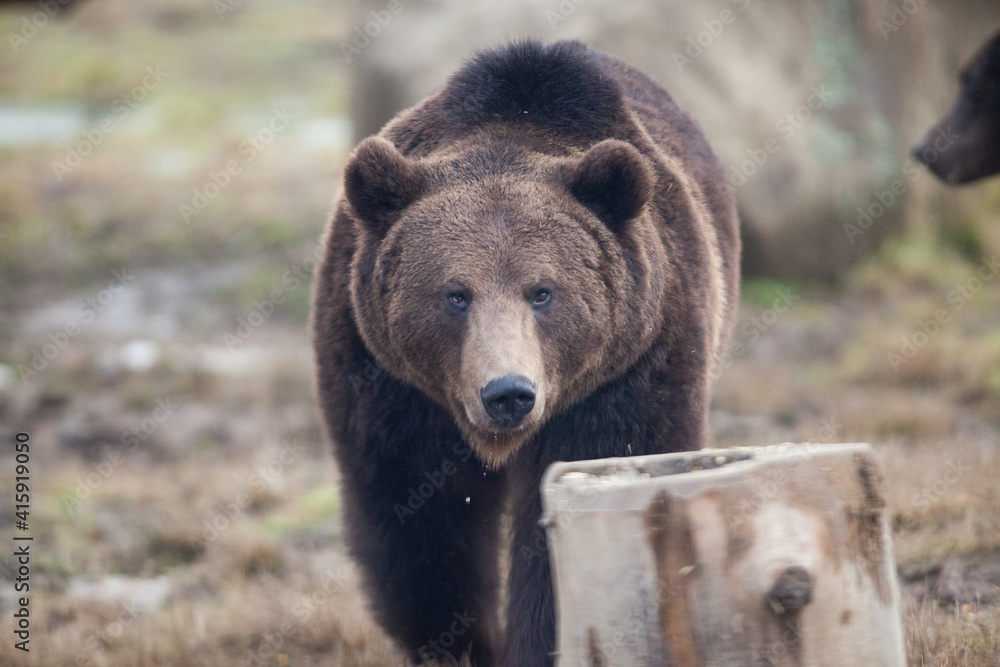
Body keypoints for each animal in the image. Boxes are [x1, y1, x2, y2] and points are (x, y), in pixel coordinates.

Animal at [312, 40, 739, 666]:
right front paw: (461, 645)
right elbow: (419, 523)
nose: (508, 393)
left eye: (542, 291)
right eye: (455, 294)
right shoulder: (389, 384)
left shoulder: (630, 372)